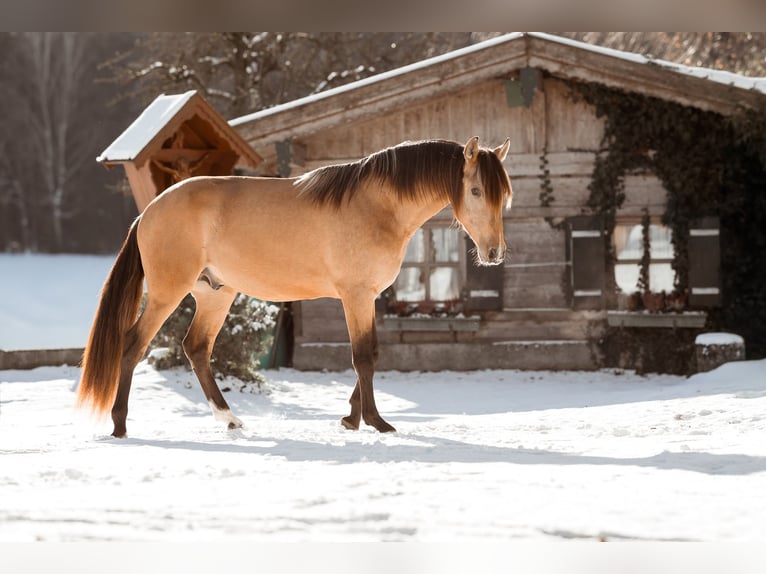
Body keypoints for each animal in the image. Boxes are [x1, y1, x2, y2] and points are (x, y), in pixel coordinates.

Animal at [76, 137, 516, 438]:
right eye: (476, 190)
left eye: (505, 195)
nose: (494, 252)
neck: (378, 206)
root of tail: (149, 212)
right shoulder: (356, 296)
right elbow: (363, 357)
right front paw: (376, 422)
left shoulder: (368, 298)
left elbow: (371, 353)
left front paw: (350, 419)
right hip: (168, 294)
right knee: (132, 345)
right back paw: (120, 426)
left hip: (215, 294)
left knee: (196, 349)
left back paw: (229, 418)